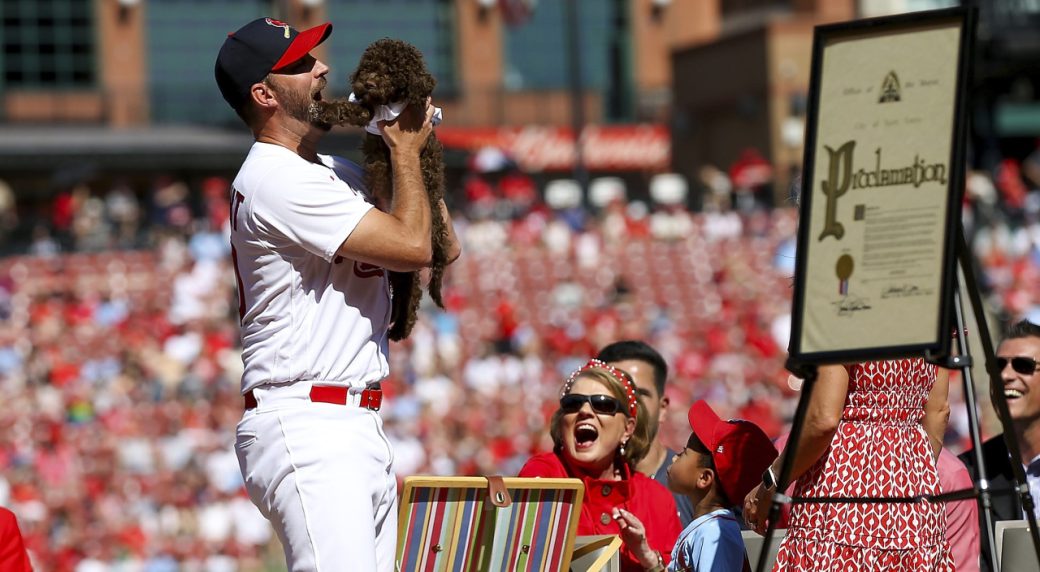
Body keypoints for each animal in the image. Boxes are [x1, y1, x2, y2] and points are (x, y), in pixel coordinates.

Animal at [312, 38, 451, 343]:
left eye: (392, 72)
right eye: (369, 66)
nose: (368, 83)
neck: (388, 100)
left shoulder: (378, 112)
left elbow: (352, 109)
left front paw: (324, 110)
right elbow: (356, 105)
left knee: (412, 293)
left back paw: (400, 329)